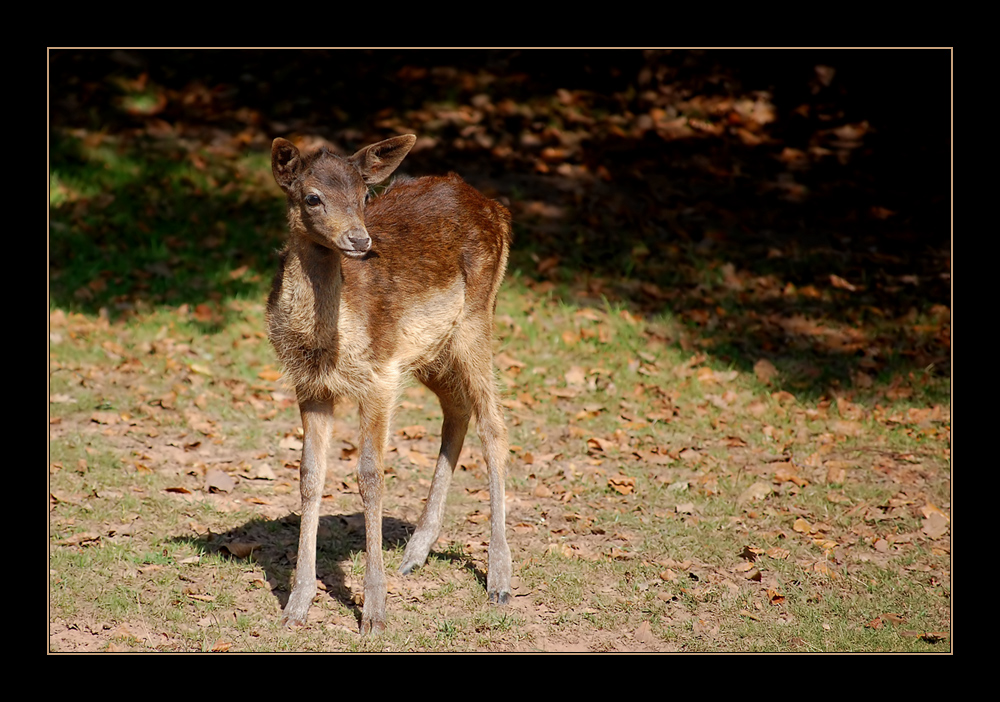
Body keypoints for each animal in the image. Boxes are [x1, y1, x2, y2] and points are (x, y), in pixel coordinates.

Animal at [266, 135, 512, 636]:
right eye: (312, 197)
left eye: (364, 195)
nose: (360, 240)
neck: (325, 340)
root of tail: (497, 210)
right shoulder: (311, 386)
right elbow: (309, 475)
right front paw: (296, 606)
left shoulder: (379, 375)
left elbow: (370, 476)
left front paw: (374, 613)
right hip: (429, 350)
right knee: (457, 410)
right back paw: (416, 552)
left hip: (476, 320)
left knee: (494, 425)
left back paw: (499, 579)